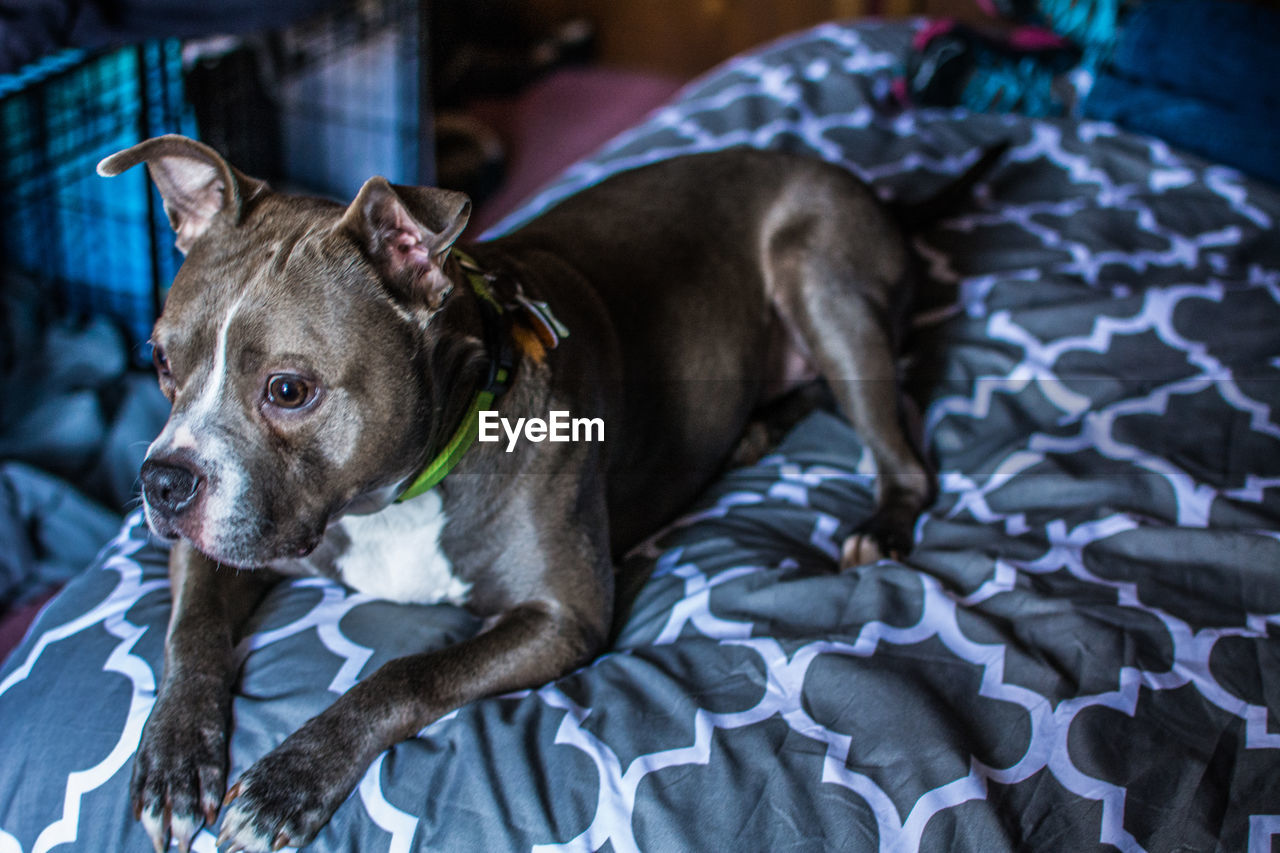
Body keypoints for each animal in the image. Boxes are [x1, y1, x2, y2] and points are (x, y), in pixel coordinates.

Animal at [99, 136, 983, 845]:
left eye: (288, 390)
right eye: (161, 362)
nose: (162, 480)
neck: (393, 499)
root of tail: (844, 174)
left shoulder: (564, 615)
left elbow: (407, 673)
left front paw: (291, 779)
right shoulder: (230, 543)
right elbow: (190, 629)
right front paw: (173, 755)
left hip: (826, 289)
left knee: (899, 445)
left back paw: (883, 522)